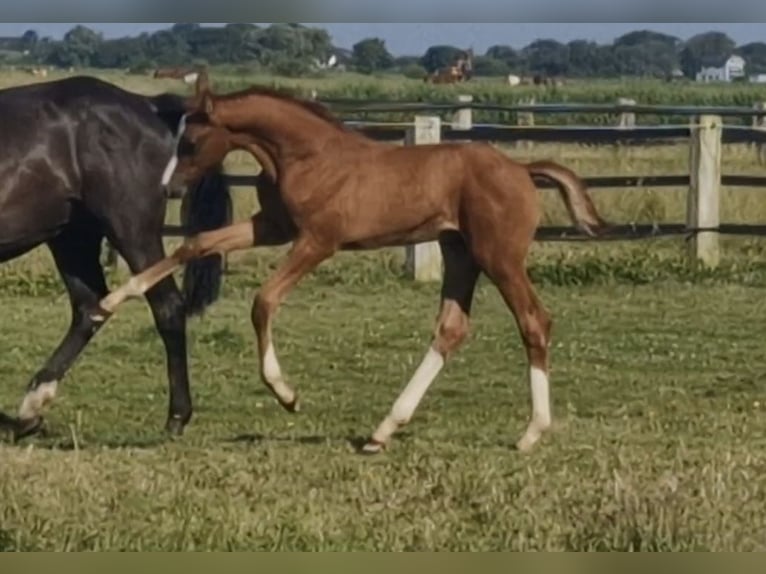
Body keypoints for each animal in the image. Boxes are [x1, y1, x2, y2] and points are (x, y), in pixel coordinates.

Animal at [0, 76, 234, 440]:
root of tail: (149, 106)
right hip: (72, 236)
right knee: (90, 307)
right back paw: (30, 409)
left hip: (132, 230)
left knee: (167, 307)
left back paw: (177, 417)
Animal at [96, 75, 612, 454]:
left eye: (191, 141)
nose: (168, 188)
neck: (307, 156)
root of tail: (521, 170)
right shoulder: (273, 226)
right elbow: (195, 244)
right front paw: (113, 299)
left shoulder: (318, 240)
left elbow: (263, 301)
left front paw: (286, 394)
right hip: (458, 252)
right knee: (451, 328)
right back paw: (384, 430)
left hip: (498, 256)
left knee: (533, 321)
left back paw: (531, 432)